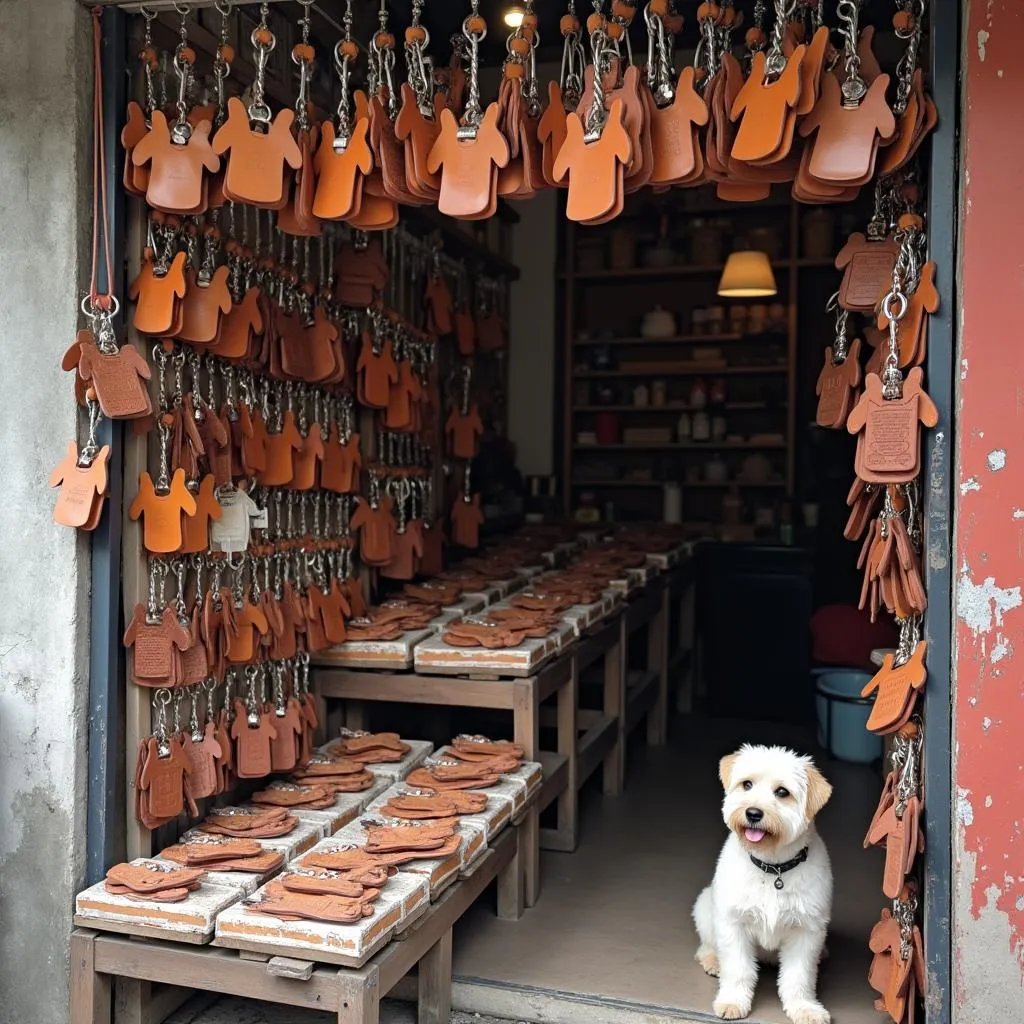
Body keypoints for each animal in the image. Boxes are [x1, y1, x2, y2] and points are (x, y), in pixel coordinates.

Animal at [692, 745, 835, 1024]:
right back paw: (713, 960)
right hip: (705, 906)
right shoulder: (733, 924)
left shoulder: (806, 931)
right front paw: (733, 1001)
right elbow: (737, 970)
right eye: (747, 784)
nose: (753, 813)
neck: (772, 867)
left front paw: (805, 1008)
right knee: (707, 945)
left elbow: (799, 978)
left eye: (782, 792)